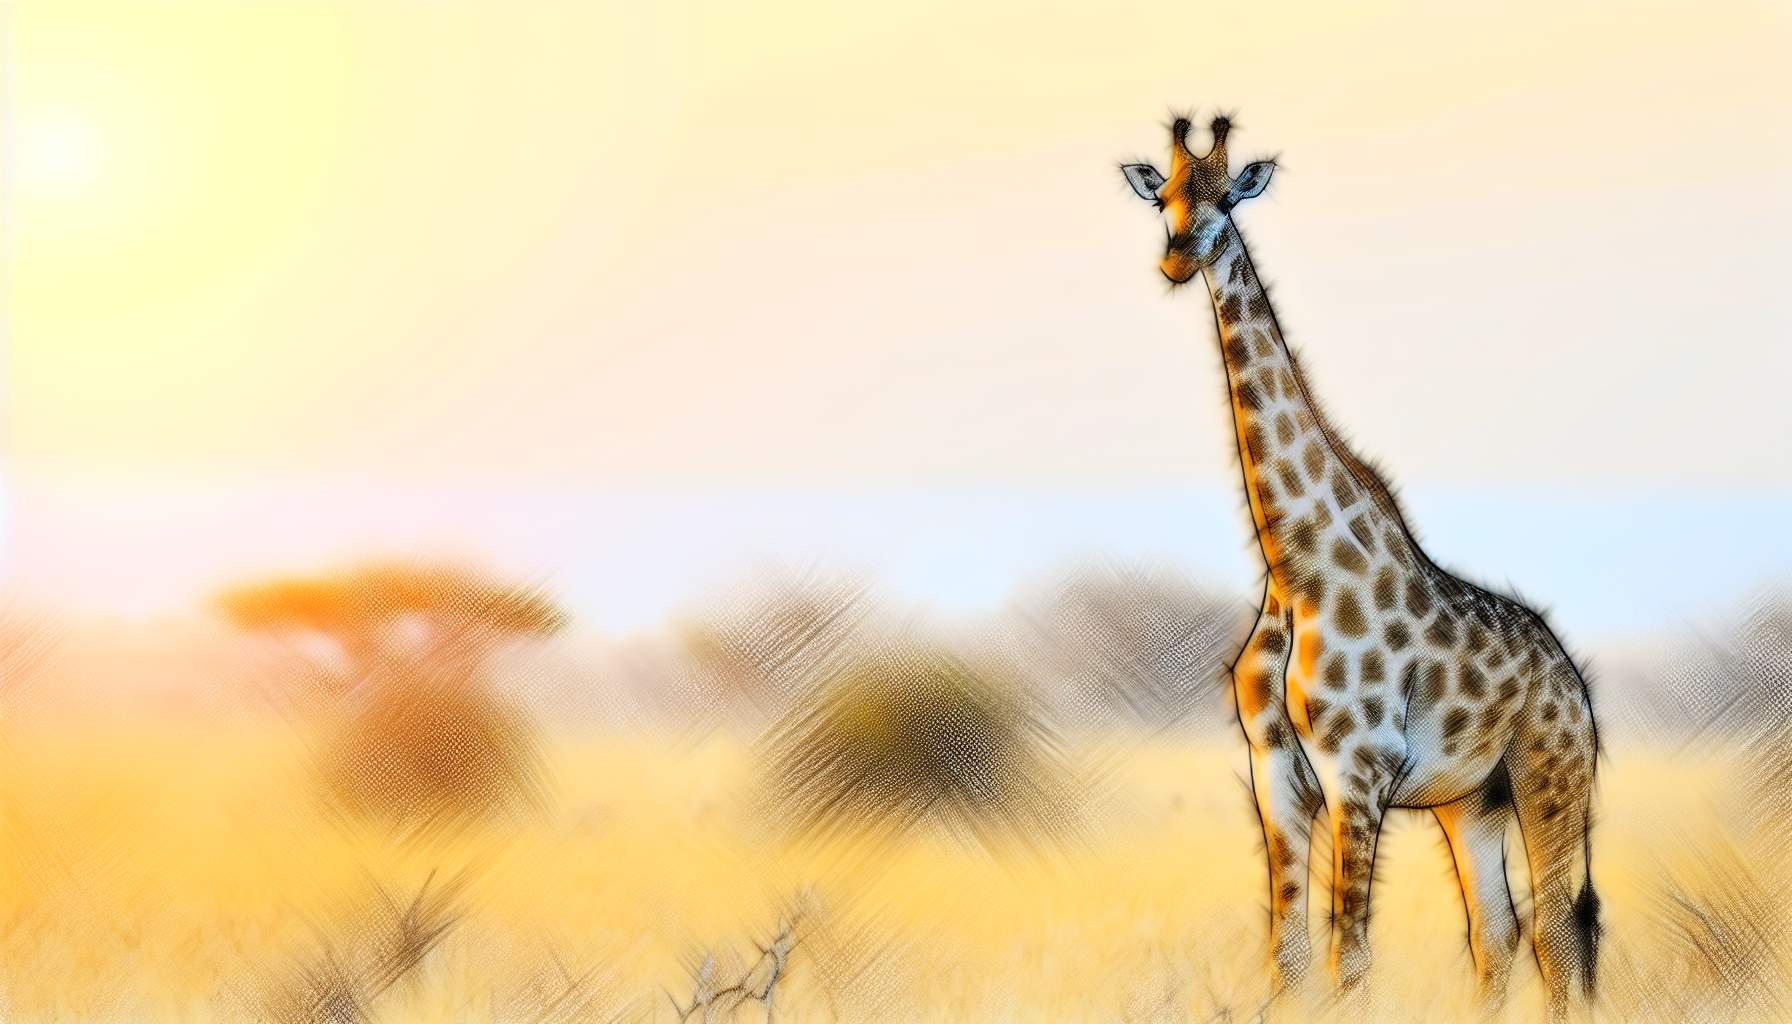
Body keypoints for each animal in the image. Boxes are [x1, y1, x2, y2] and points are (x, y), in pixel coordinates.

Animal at [1118, 115, 1601, 1019]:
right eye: (1164, 200)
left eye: (1227, 199)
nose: (1175, 260)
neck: (1294, 566)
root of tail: (1576, 684)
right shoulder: (1275, 770)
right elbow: (1289, 954)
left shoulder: (1360, 768)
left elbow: (1351, 955)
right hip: (1472, 798)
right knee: (1500, 933)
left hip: (1552, 775)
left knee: (1560, 930)